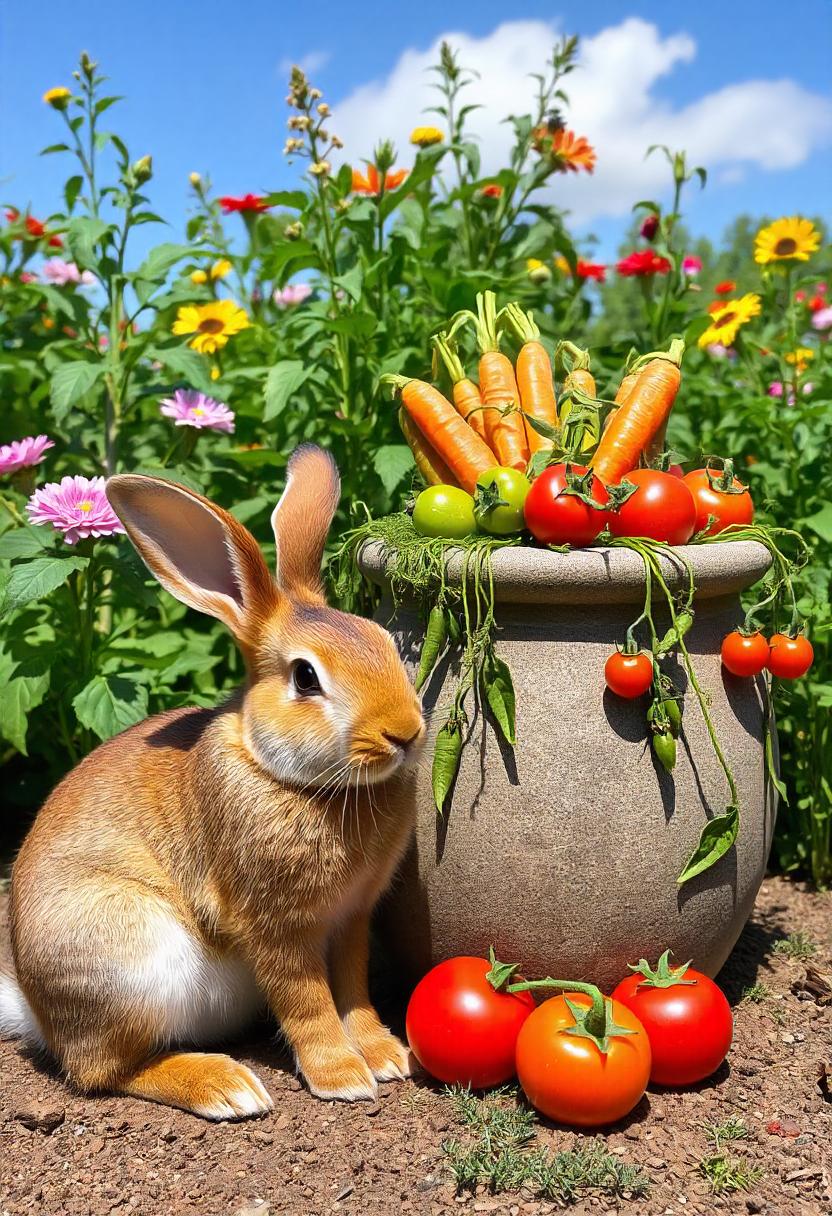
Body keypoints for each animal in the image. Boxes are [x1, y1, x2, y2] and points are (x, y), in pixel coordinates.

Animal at [0, 443, 425, 1120]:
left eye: (385, 639)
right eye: (305, 677)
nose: (405, 733)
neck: (284, 774)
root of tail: (38, 1013)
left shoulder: (352, 919)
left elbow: (353, 989)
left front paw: (386, 1057)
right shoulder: (276, 927)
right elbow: (307, 1002)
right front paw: (342, 1078)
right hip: (131, 961)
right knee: (101, 1072)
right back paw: (226, 1087)